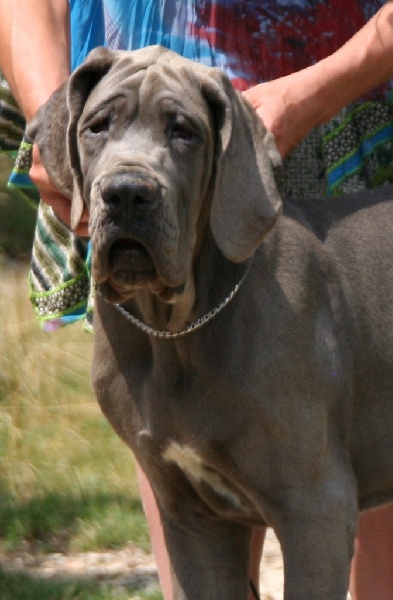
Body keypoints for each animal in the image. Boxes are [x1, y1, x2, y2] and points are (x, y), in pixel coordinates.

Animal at [29, 44, 392, 596]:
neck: (174, 330)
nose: (127, 193)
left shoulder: (316, 510)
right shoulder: (192, 518)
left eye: (184, 131)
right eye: (97, 126)